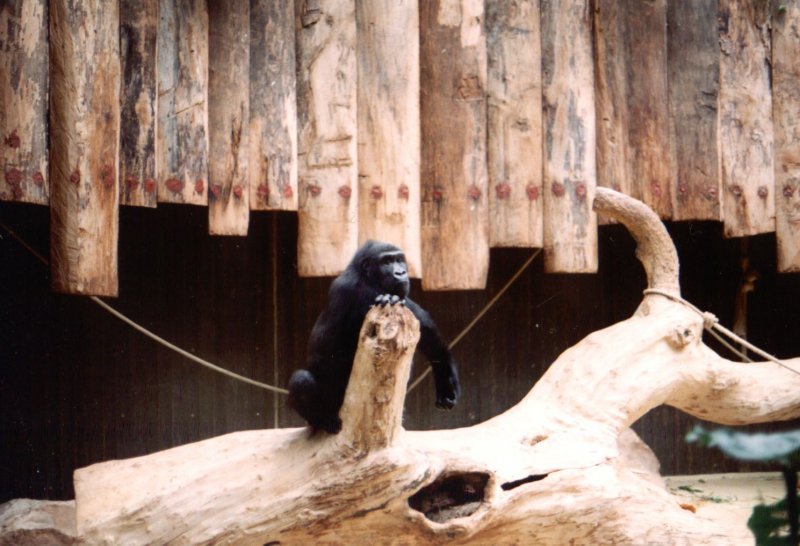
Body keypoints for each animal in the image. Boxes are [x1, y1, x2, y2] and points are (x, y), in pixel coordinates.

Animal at [290, 240, 462, 432]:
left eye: (399, 260)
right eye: (386, 262)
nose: (401, 272)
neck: (367, 277)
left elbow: (431, 339)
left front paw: (447, 384)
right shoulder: (350, 289)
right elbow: (328, 353)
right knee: (301, 380)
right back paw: (324, 421)